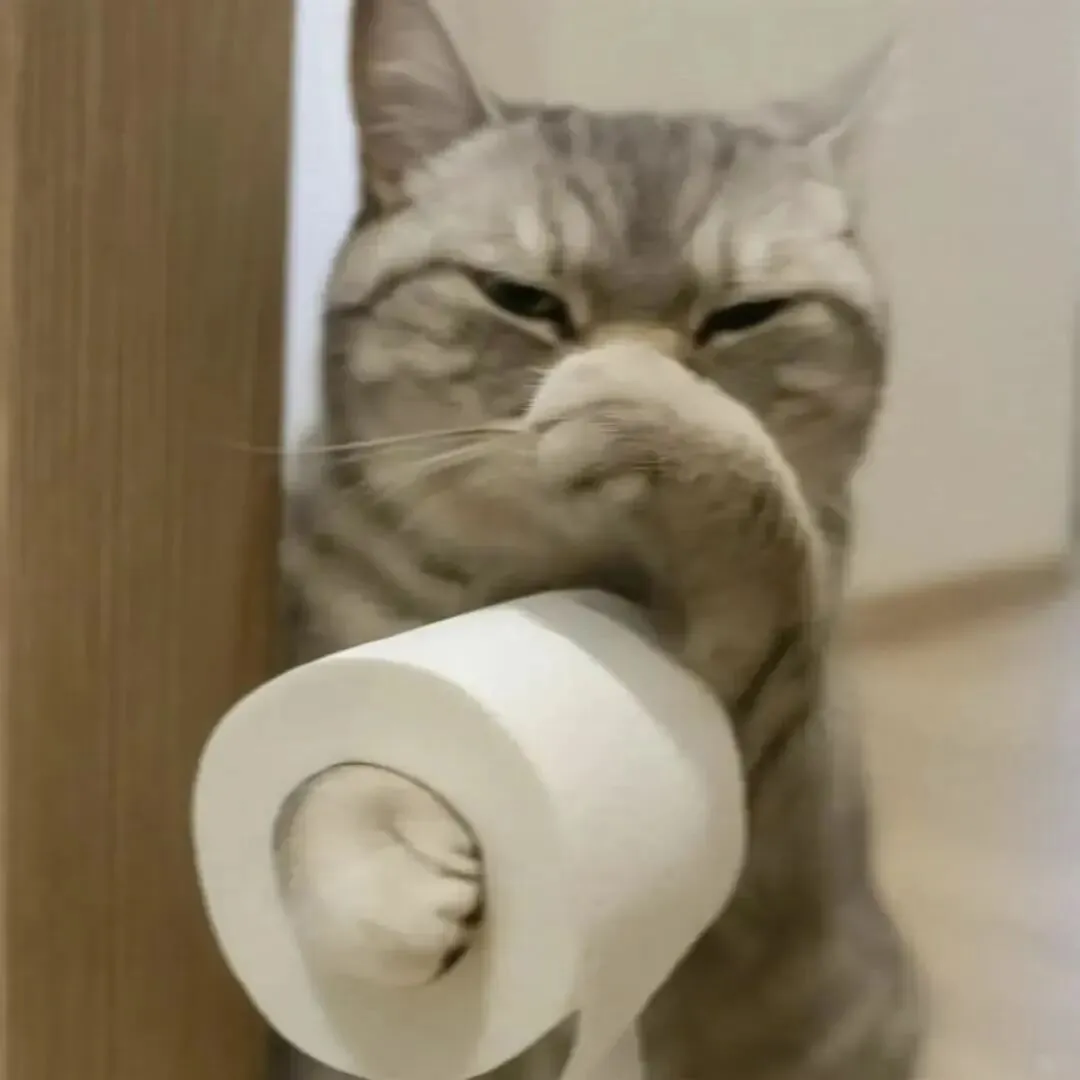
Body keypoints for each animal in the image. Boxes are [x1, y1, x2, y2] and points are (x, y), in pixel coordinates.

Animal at [277, 2, 923, 1079]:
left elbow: (759, 537)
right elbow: (317, 788)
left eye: (745, 315)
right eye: (520, 298)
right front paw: (385, 865)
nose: (631, 356)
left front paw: (662, 414)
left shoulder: (750, 732)